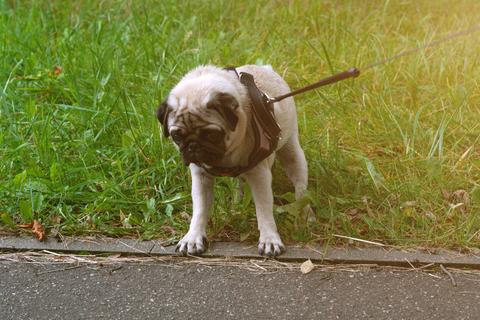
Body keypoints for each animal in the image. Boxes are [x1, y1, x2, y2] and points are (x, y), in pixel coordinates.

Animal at [156, 65, 310, 258]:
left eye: (212, 134)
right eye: (176, 136)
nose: (193, 146)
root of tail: (266, 68)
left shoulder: (260, 175)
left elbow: (264, 210)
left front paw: (269, 239)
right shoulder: (201, 178)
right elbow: (199, 210)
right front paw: (192, 237)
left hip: (292, 151)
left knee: (300, 185)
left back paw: (305, 213)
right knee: (240, 183)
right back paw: (238, 202)